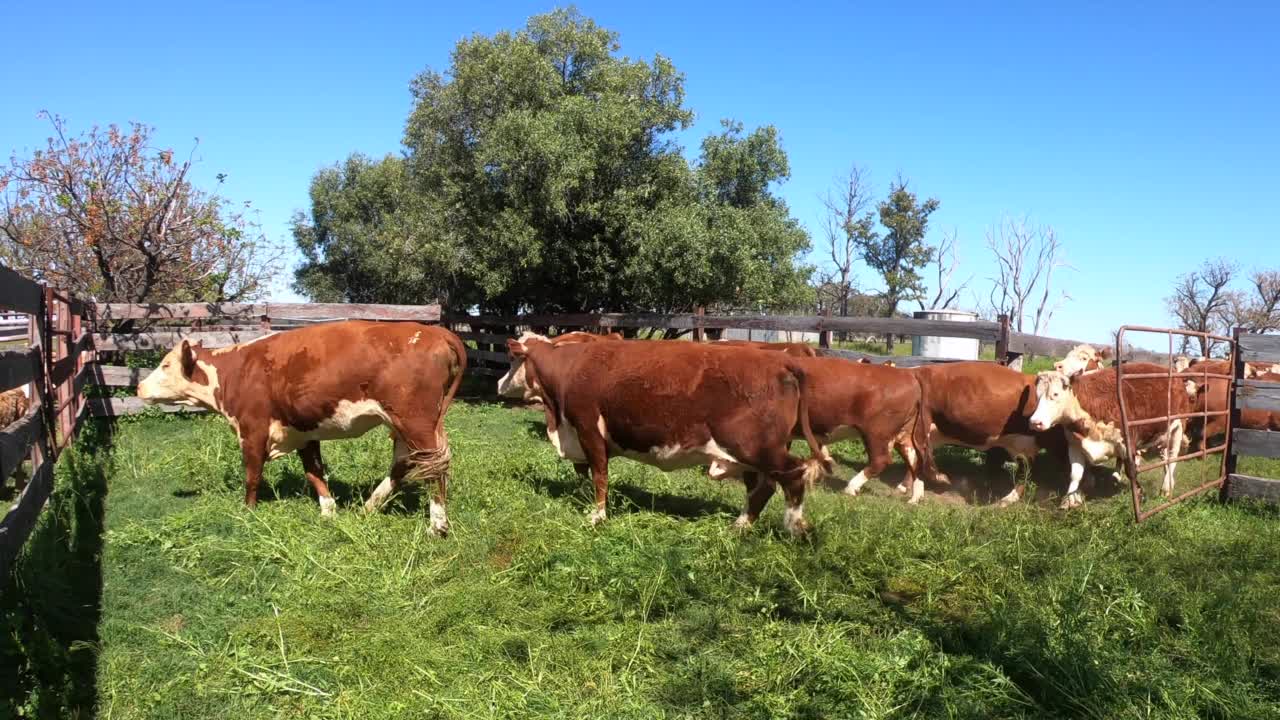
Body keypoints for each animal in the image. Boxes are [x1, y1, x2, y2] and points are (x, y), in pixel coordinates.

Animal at [137, 319, 468, 532]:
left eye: (165, 365)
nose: (139, 387)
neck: (237, 371)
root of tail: (434, 331)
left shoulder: (252, 429)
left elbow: (252, 475)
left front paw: (248, 512)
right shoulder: (303, 430)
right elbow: (314, 472)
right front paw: (328, 512)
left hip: (416, 422)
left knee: (433, 468)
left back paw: (437, 525)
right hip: (402, 425)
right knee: (404, 465)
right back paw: (368, 507)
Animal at [494, 335, 834, 532]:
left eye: (511, 358)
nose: (498, 384)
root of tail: (781, 361)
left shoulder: (588, 428)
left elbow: (599, 474)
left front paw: (597, 515)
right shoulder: (577, 435)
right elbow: (584, 472)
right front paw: (581, 499)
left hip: (754, 446)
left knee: (794, 473)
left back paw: (792, 526)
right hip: (748, 454)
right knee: (762, 488)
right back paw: (740, 525)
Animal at [1029, 361, 1187, 507]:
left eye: (1055, 394)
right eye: (1036, 395)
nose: (1035, 422)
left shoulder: (1128, 443)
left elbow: (1131, 471)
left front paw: (1139, 494)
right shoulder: (1074, 444)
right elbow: (1075, 474)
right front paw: (1070, 500)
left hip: (1178, 428)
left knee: (1173, 458)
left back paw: (1166, 488)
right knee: (1166, 459)